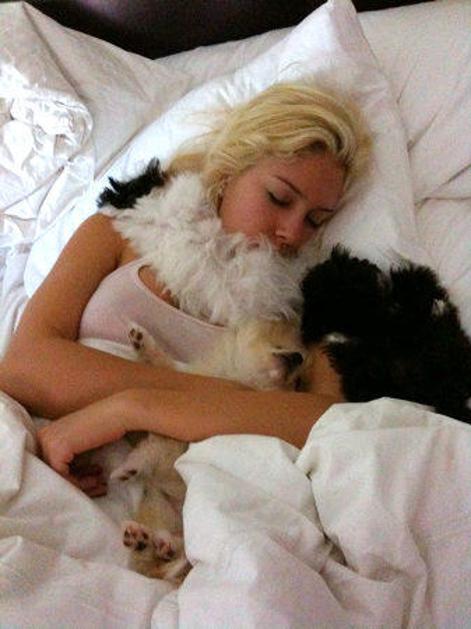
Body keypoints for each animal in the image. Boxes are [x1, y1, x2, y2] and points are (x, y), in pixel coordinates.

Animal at [111, 318, 305, 583]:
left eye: (295, 383)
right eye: (281, 345)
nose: (298, 357)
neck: (231, 376)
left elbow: (152, 452)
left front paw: (130, 467)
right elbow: (162, 363)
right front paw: (141, 341)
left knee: (170, 559)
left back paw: (158, 543)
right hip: (160, 508)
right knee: (156, 560)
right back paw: (143, 539)